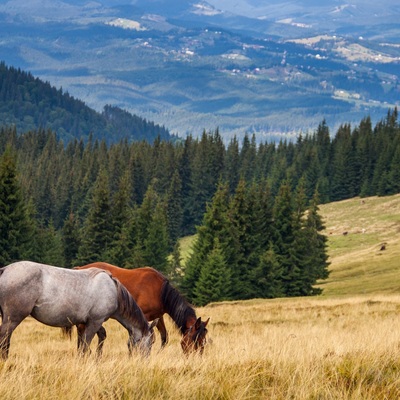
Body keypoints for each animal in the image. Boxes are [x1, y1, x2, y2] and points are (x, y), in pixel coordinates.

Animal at [73, 264, 209, 354]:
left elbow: (164, 337)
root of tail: (79, 268)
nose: (197, 356)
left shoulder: (158, 317)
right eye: (195, 341)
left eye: (203, 341)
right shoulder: (142, 316)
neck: (160, 292)